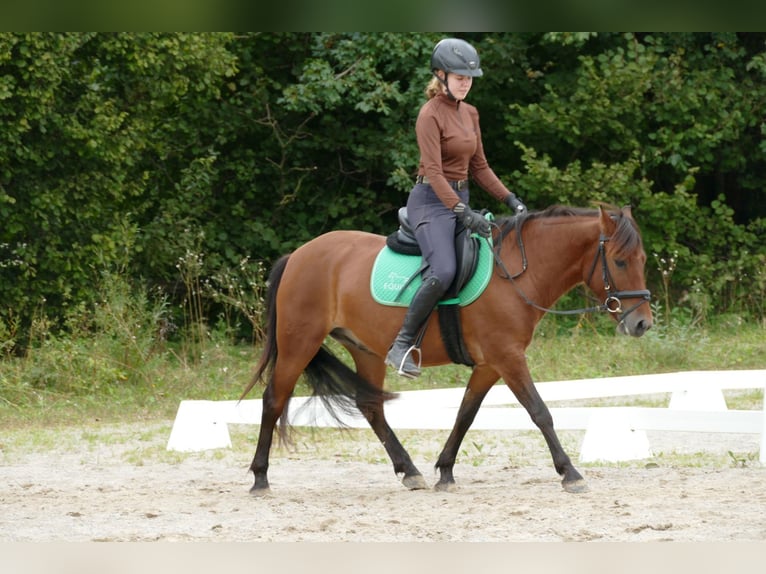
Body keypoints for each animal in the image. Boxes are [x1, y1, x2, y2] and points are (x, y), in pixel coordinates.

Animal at [242, 205, 656, 498]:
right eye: (619, 261)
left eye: (643, 261)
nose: (642, 324)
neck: (518, 273)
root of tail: (297, 255)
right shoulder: (508, 357)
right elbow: (540, 412)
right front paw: (570, 473)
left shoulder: (491, 364)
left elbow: (465, 414)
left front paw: (445, 471)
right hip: (300, 342)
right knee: (273, 398)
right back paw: (260, 477)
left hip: (366, 349)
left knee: (371, 405)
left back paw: (410, 471)